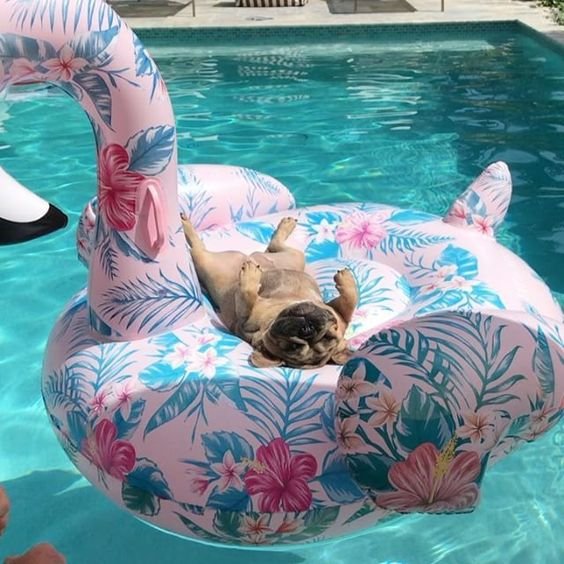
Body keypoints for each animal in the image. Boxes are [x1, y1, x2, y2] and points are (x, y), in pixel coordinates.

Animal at [181, 216, 360, 370]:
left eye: (292, 346)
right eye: (328, 336)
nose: (307, 329)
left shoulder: (244, 320)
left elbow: (247, 295)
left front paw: (250, 277)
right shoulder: (338, 311)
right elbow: (350, 302)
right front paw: (347, 279)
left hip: (203, 262)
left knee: (197, 247)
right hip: (295, 257)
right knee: (275, 246)